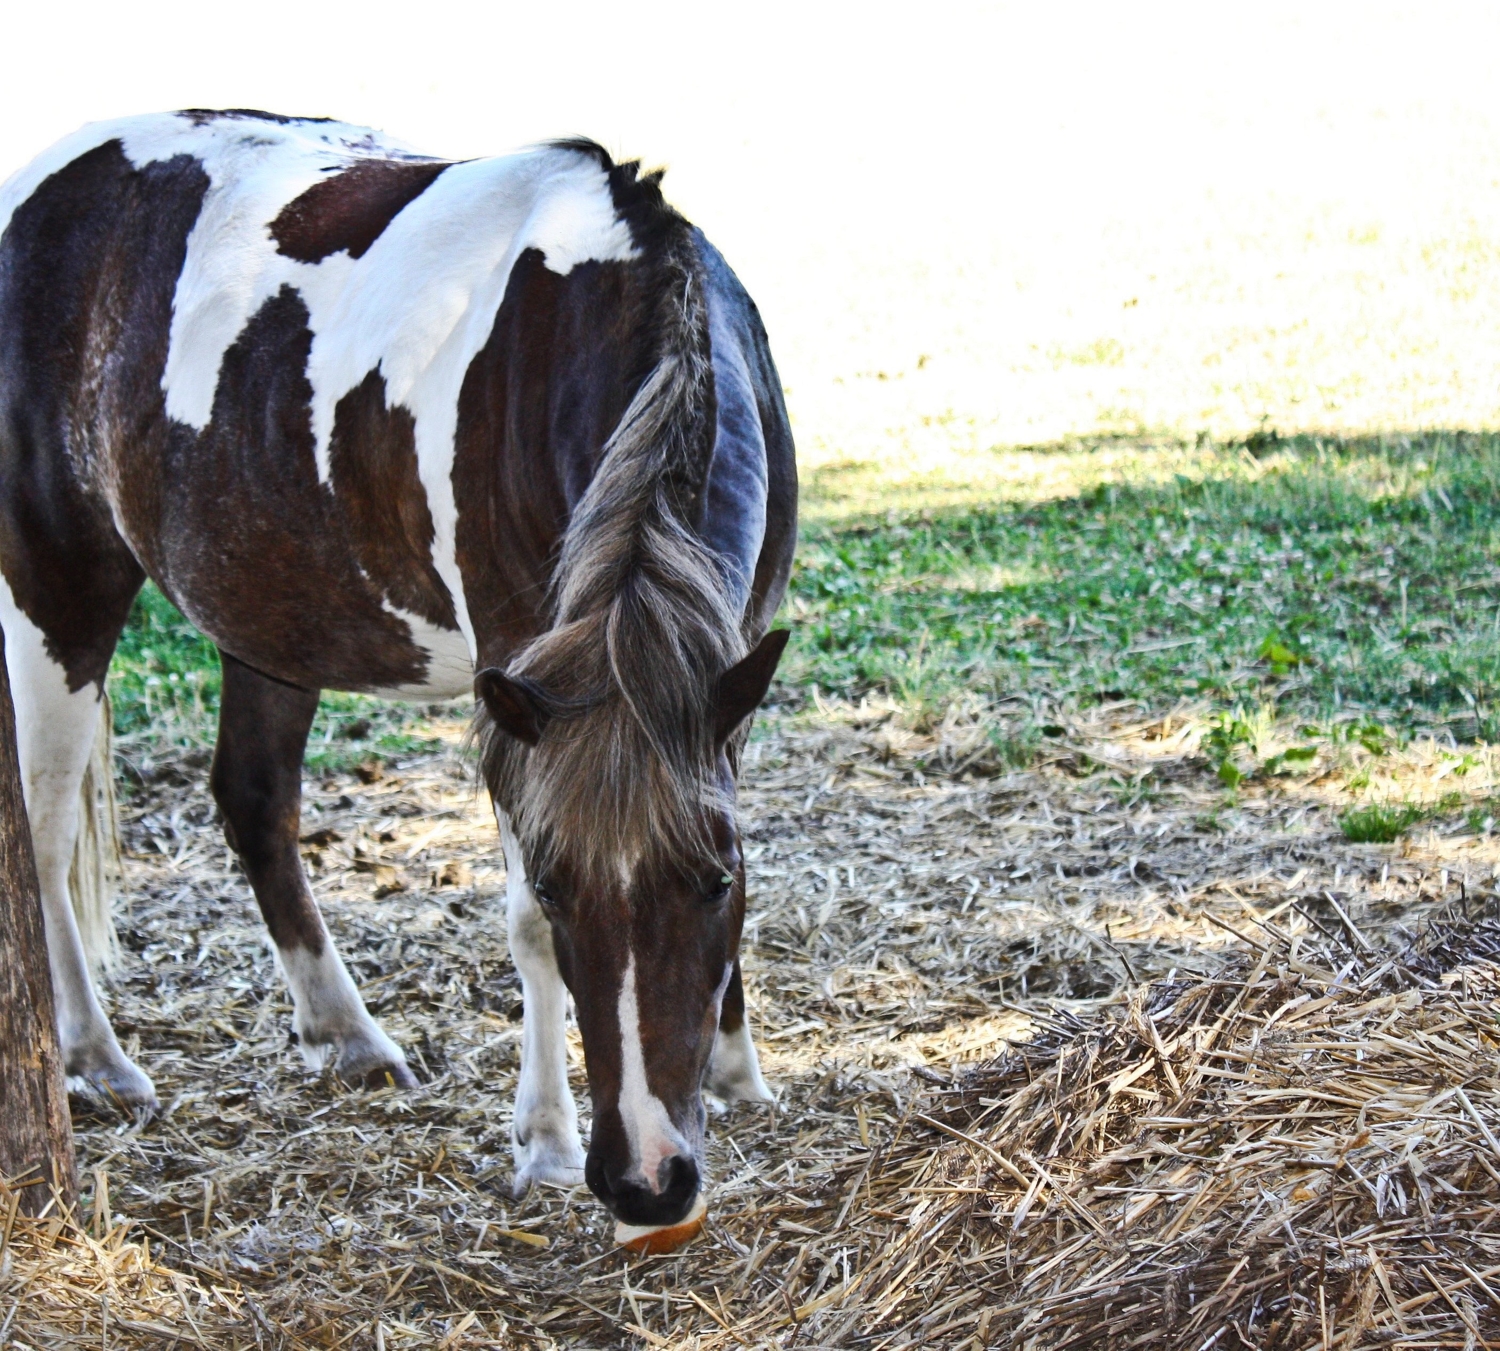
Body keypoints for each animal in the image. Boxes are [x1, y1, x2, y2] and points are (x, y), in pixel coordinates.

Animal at [0, 110, 798, 1229]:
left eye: (713, 878)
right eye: (558, 883)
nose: (647, 1180)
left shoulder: (725, 675)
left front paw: (737, 1070)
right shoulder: (522, 686)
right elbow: (523, 927)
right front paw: (546, 1140)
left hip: (269, 613)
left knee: (253, 800)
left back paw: (348, 1034)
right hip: (56, 586)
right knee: (44, 826)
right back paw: (92, 1058)